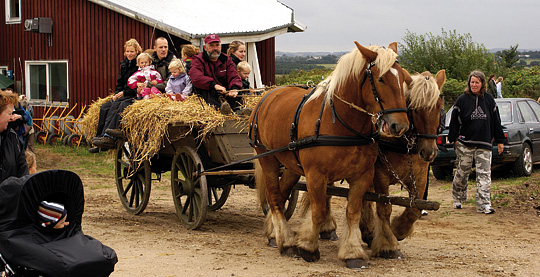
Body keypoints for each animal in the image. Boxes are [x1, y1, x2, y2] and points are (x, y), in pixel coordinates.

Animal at [251, 41, 412, 268]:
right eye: (381, 79)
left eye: (404, 78)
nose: (400, 126)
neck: (341, 123)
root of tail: (267, 96)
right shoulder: (316, 176)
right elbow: (318, 212)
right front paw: (307, 247)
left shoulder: (362, 176)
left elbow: (353, 213)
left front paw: (352, 253)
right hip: (267, 159)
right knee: (274, 199)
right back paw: (287, 242)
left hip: (291, 166)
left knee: (281, 196)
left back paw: (275, 235)